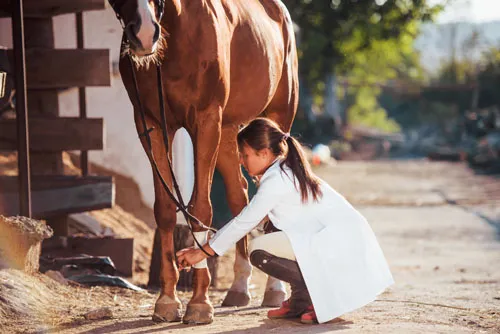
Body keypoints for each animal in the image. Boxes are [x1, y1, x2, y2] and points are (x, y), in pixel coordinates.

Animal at [109, 0, 296, 324]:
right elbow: (165, 210)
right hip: (230, 133)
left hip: (275, 117)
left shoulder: (207, 121)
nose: (144, 33)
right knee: (239, 194)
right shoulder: (151, 124)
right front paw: (167, 300)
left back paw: (274, 288)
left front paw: (198, 302)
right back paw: (239, 286)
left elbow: (199, 209)